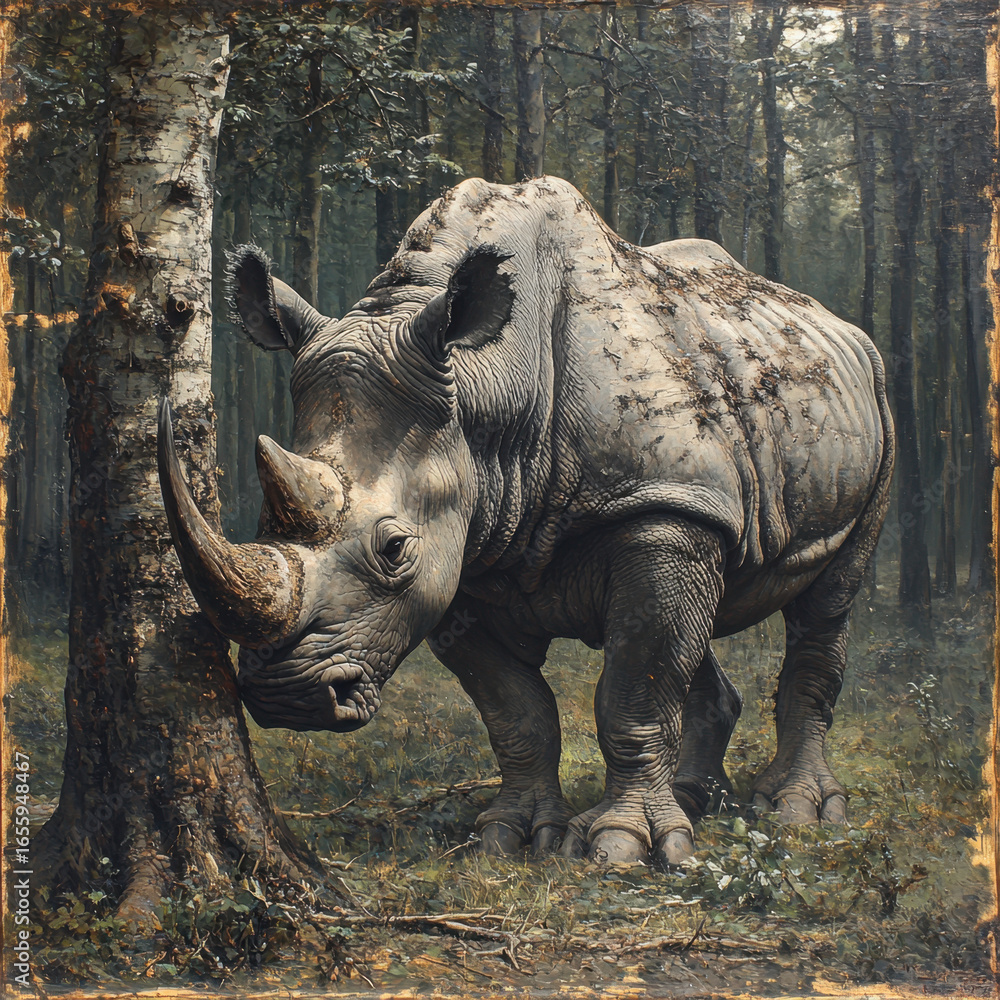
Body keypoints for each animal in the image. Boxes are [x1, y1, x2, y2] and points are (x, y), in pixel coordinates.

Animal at [158, 176, 893, 866]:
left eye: (394, 548)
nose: (286, 697)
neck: (484, 386)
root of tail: (836, 325)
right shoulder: (471, 553)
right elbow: (518, 713)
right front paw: (510, 837)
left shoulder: (656, 503)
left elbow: (635, 690)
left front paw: (621, 847)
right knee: (702, 609)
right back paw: (694, 800)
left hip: (871, 403)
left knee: (825, 604)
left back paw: (797, 811)